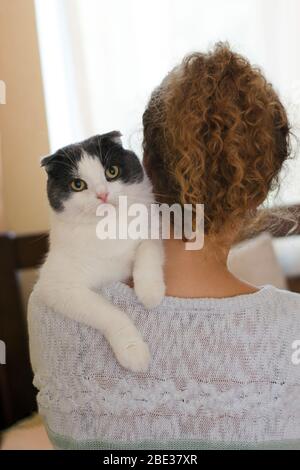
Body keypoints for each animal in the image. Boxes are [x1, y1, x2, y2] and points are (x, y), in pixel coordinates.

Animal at [29, 131, 165, 370]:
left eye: (112, 171)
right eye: (78, 184)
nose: (102, 194)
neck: (108, 229)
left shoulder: (153, 229)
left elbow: (147, 249)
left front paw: (150, 292)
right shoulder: (56, 286)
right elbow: (109, 312)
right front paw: (133, 351)